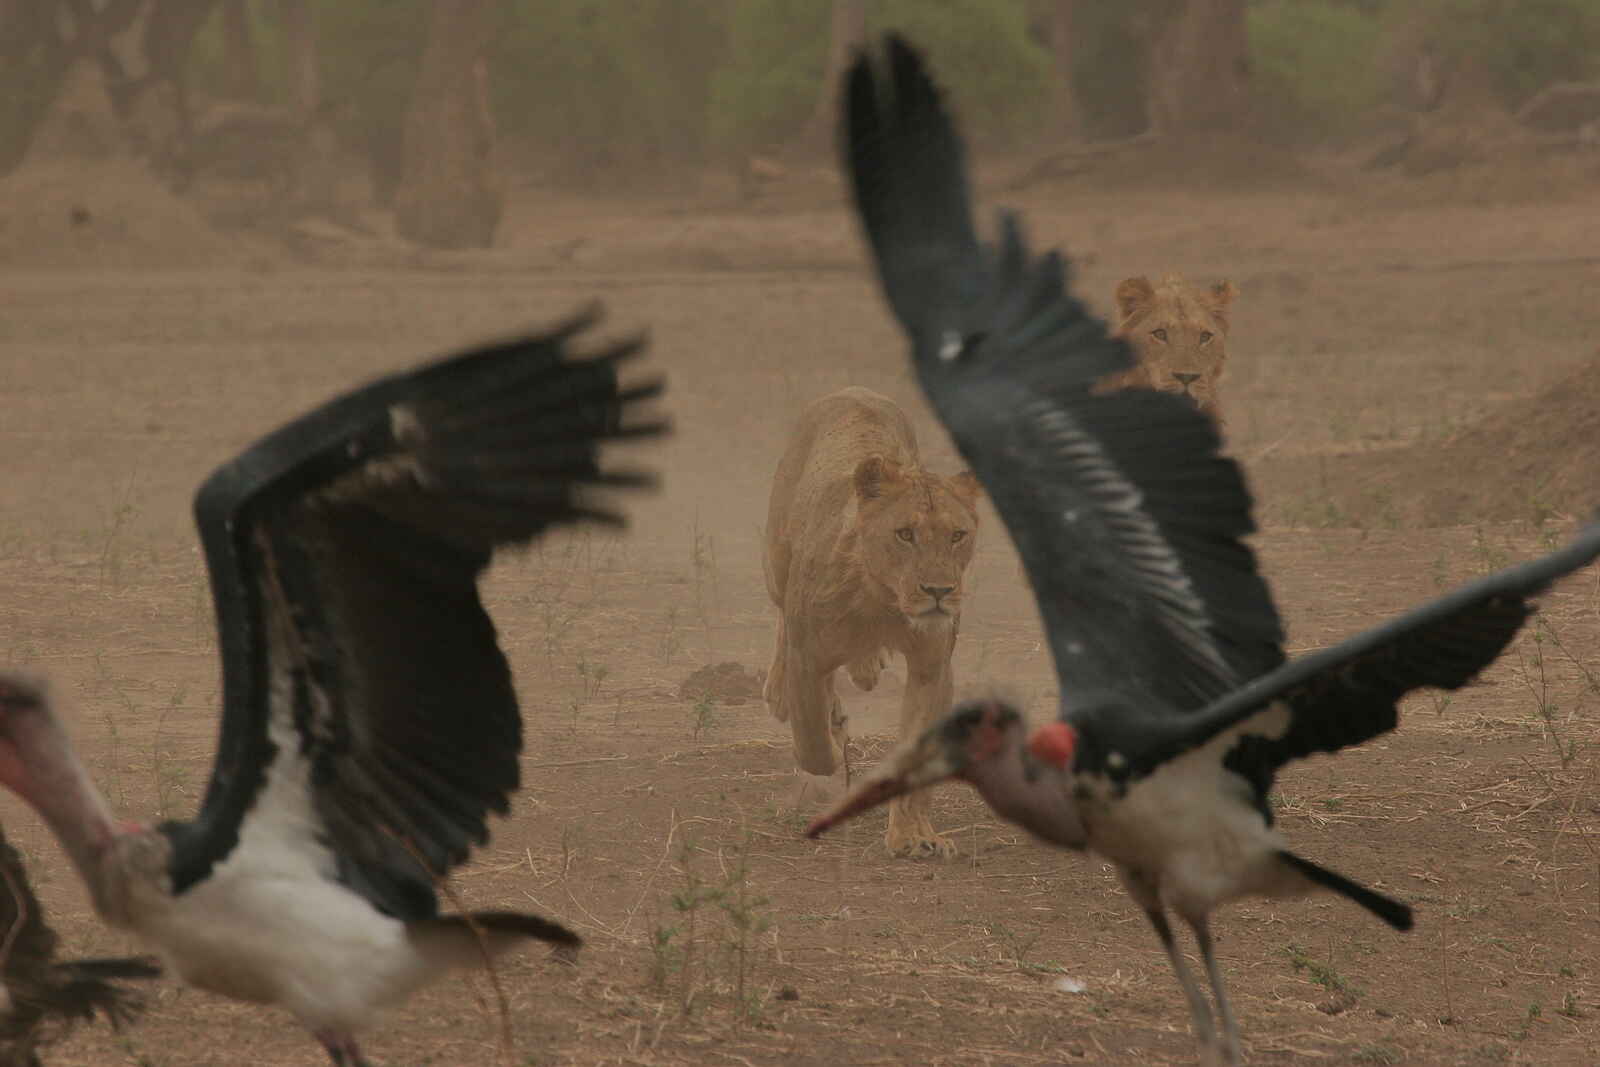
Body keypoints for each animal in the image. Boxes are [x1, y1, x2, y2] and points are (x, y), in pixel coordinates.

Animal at [763, 387, 980, 856]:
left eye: (958, 535)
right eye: (905, 534)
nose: (939, 591)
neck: (884, 601)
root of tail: (853, 391)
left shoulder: (931, 667)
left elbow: (915, 755)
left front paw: (915, 836)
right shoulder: (809, 658)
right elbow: (811, 740)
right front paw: (834, 737)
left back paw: (865, 667)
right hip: (776, 563)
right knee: (781, 616)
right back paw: (781, 692)